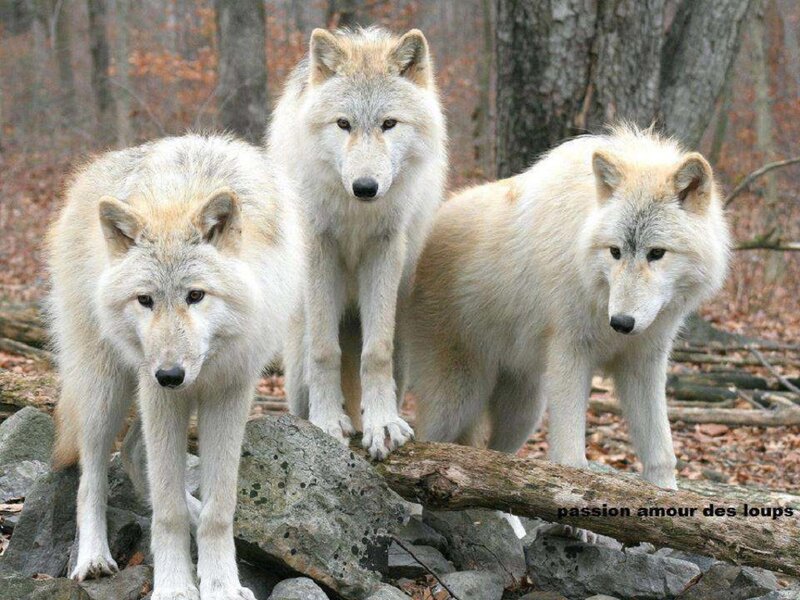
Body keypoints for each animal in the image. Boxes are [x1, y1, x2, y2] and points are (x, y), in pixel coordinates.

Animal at [47, 134, 302, 600]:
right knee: (91, 476)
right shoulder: (159, 396)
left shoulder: (229, 394)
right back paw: (92, 558)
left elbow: (220, 509)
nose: (170, 375)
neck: (182, 194)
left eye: (196, 295)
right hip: (106, 391)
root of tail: (83, 180)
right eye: (145, 299)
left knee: (134, 454)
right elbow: (167, 513)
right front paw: (175, 587)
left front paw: (221, 585)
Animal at [268, 27, 447, 459]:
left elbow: (375, 353)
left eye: (389, 123)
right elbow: (325, 351)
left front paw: (381, 425)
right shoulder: (320, 249)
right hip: (295, 360)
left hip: (402, 341)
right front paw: (327, 422)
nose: (365, 187)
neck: (355, 212)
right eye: (343, 124)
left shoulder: (385, 249)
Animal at [409, 126, 730, 494]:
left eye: (656, 253)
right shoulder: (570, 353)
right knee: (426, 442)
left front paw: (665, 494)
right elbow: (569, 457)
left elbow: (662, 452)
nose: (622, 322)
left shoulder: (643, 361)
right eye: (615, 252)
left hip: (525, 411)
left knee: (495, 457)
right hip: (457, 401)